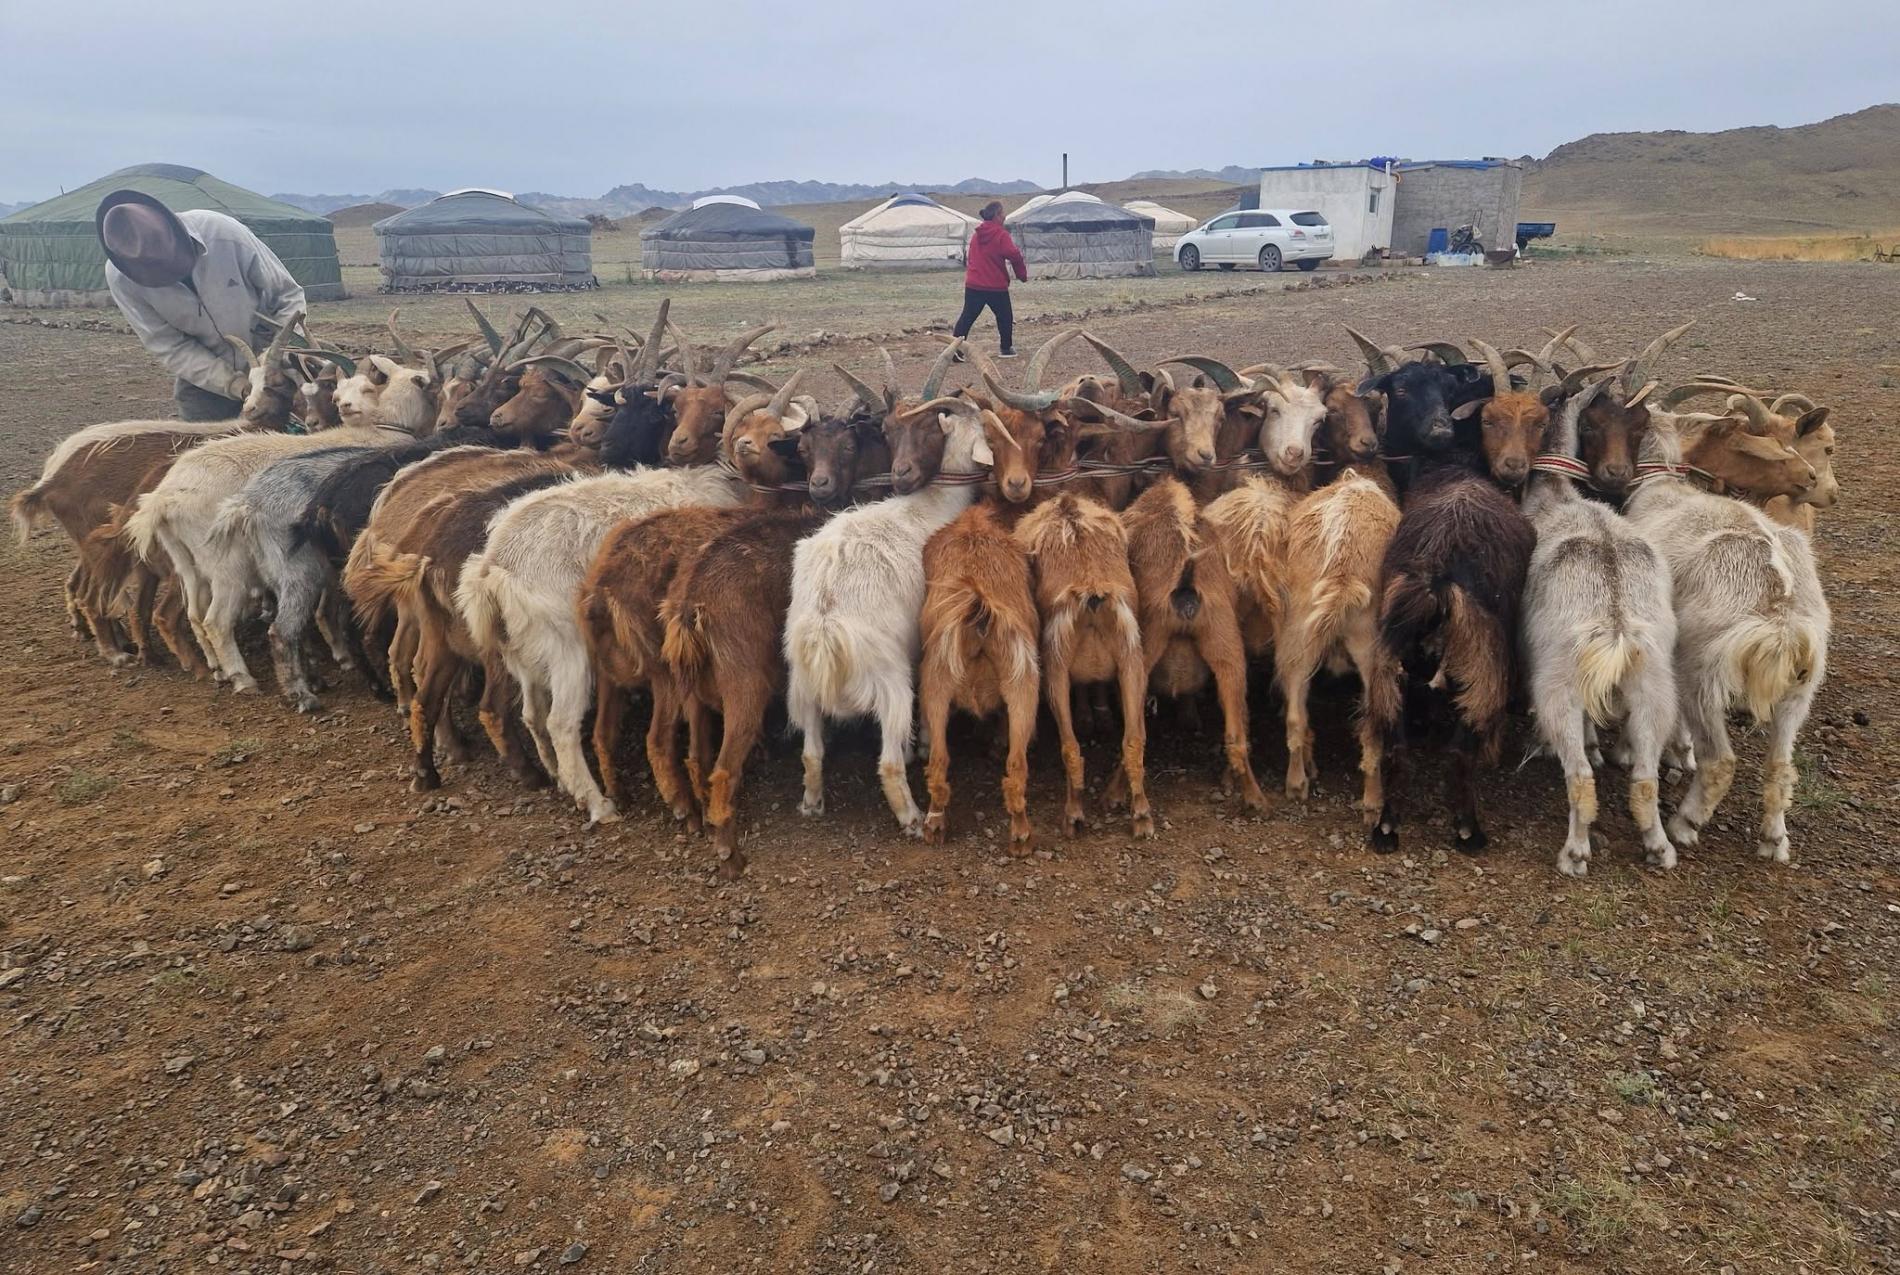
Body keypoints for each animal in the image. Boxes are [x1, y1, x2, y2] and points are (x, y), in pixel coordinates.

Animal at [784, 391, 994, 835]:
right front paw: (924, 745)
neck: (933, 505)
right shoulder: (924, 646)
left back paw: (812, 803)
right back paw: (911, 817)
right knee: (889, 765)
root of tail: (826, 623)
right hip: (889, 677)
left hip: (802, 683)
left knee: (811, 753)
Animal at [1518, 372, 1681, 876]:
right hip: (1654, 687)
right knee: (1646, 776)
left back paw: (1574, 854)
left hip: (1557, 686)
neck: (1554, 492)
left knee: (1580, 776)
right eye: (1591, 424)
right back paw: (1659, 848)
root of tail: (1616, 622)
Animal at [1622, 413, 1828, 865]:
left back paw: (1685, 824)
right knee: (1781, 764)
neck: (1662, 484)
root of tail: (1780, 613)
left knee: (1721, 761)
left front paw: (1677, 752)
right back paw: (1774, 839)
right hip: (1801, 687)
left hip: (1702, 674)